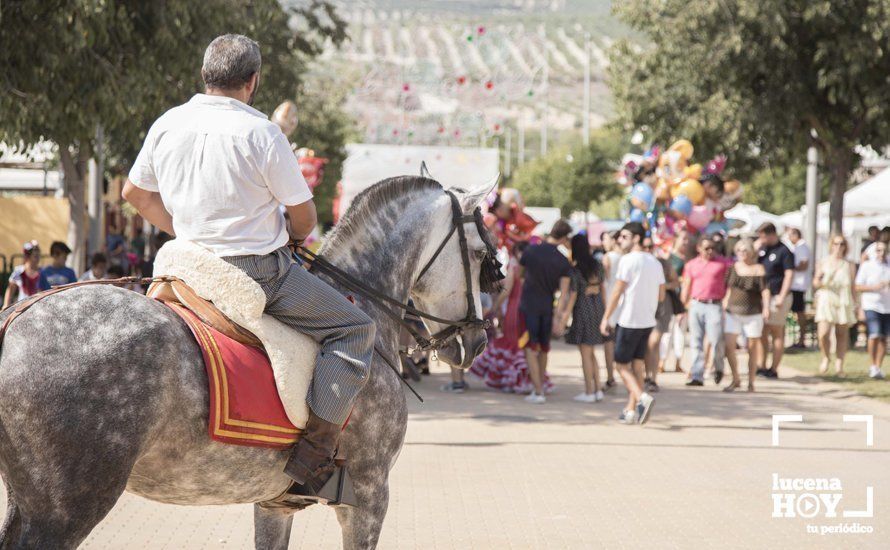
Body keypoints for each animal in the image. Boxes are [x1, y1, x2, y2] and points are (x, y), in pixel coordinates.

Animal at [0, 178, 492, 550]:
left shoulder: (274, 504)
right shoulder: (369, 497)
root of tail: (16, 317)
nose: (478, 339)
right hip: (66, 510)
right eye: (482, 255)